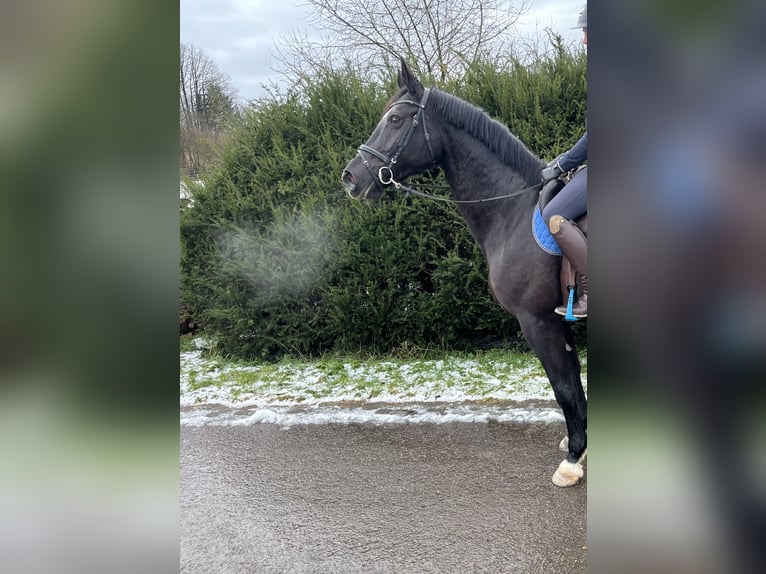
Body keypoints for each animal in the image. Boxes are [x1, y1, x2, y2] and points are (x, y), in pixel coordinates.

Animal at [342, 62, 588, 486]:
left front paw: (572, 459)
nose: (352, 177)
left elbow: (564, 388)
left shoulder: (538, 321)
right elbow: (574, 383)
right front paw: (580, 444)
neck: (513, 211)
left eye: (395, 119)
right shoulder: (558, 320)